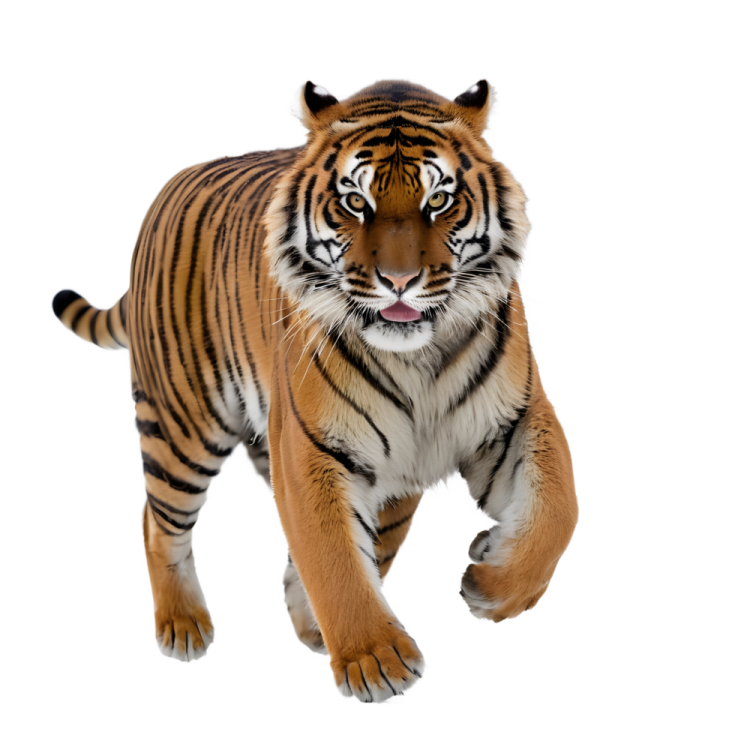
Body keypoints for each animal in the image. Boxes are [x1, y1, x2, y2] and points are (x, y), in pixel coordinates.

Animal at [50, 78, 580, 703]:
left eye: (438, 201)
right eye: (355, 202)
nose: (399, 282)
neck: (417, 359)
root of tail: (170, 187)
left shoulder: (516, 418)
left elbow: (559, 509)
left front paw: (491, 582)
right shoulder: (311, 448)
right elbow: (333, 557)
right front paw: (375, 661)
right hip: (184, 426)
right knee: (158, 519)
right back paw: (183, 623)